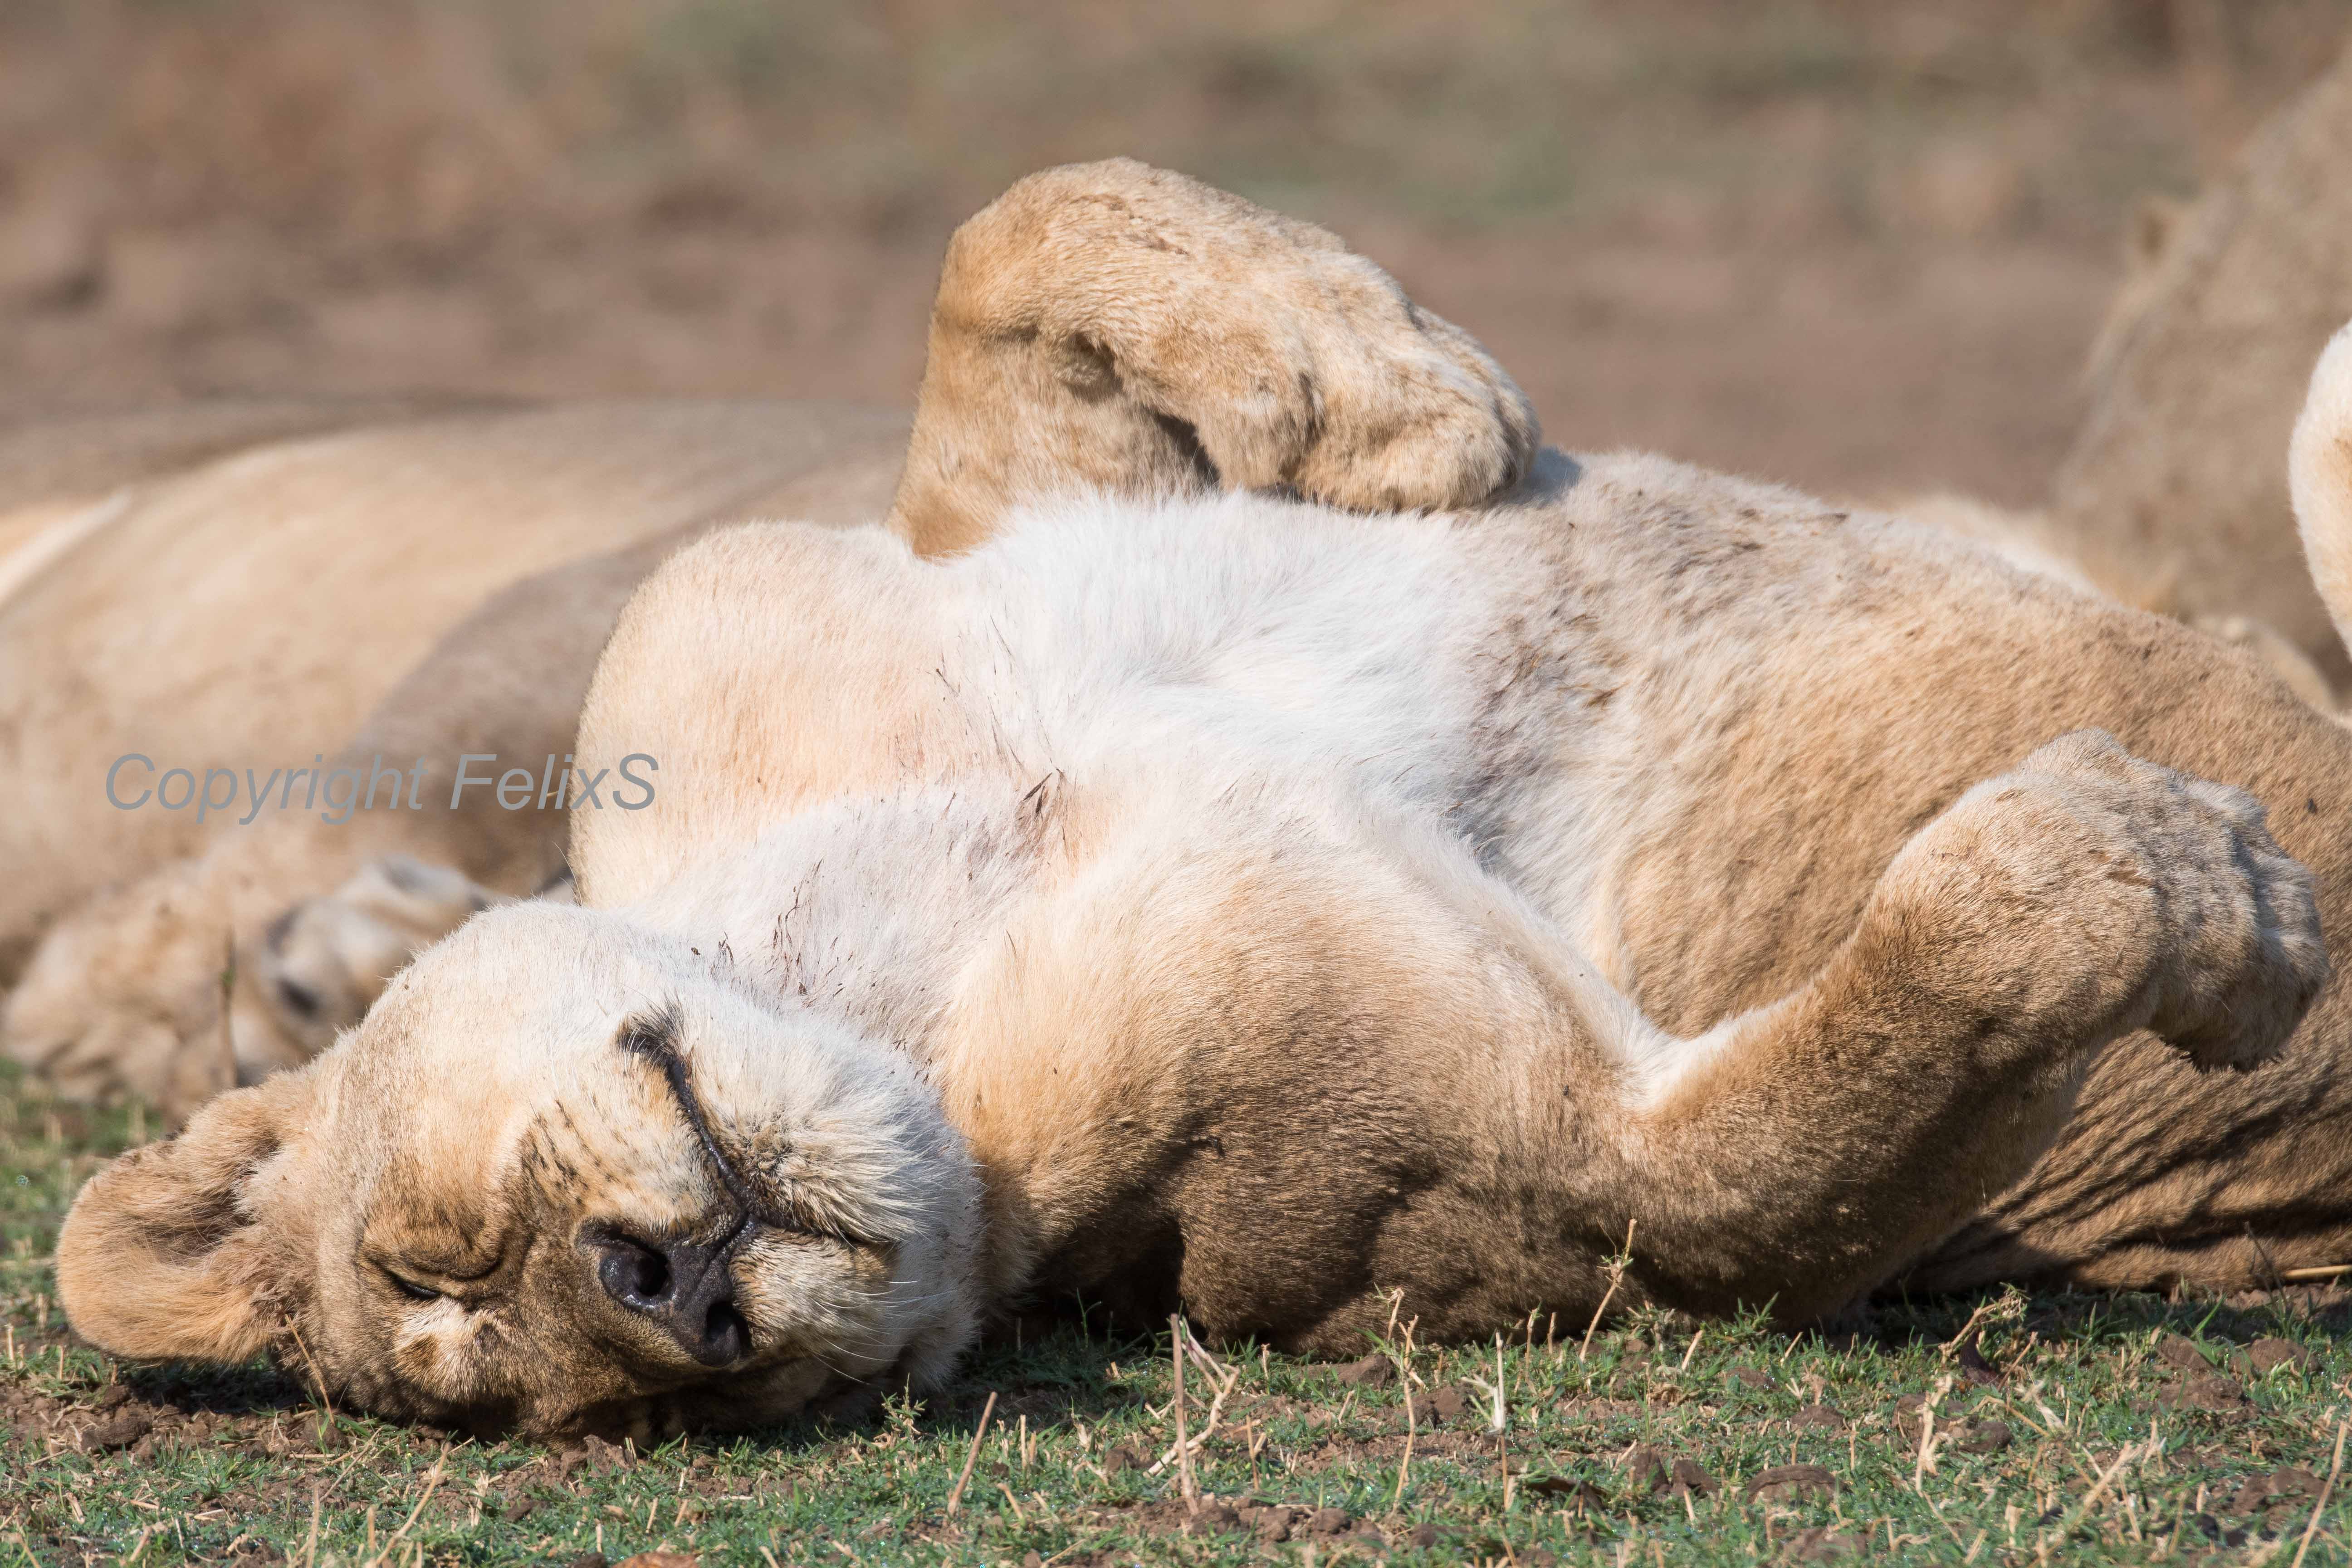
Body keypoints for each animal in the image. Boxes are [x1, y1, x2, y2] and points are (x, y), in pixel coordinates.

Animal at [46, 162, 2352, 1448]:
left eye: (436, 1253)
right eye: (500, 1361)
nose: (666, 1302)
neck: (906, 929)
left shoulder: (829, 575)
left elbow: (1011, 235)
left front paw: (1389, 395)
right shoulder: (1536, 1180)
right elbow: (1802, 1113)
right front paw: (2182, 880)